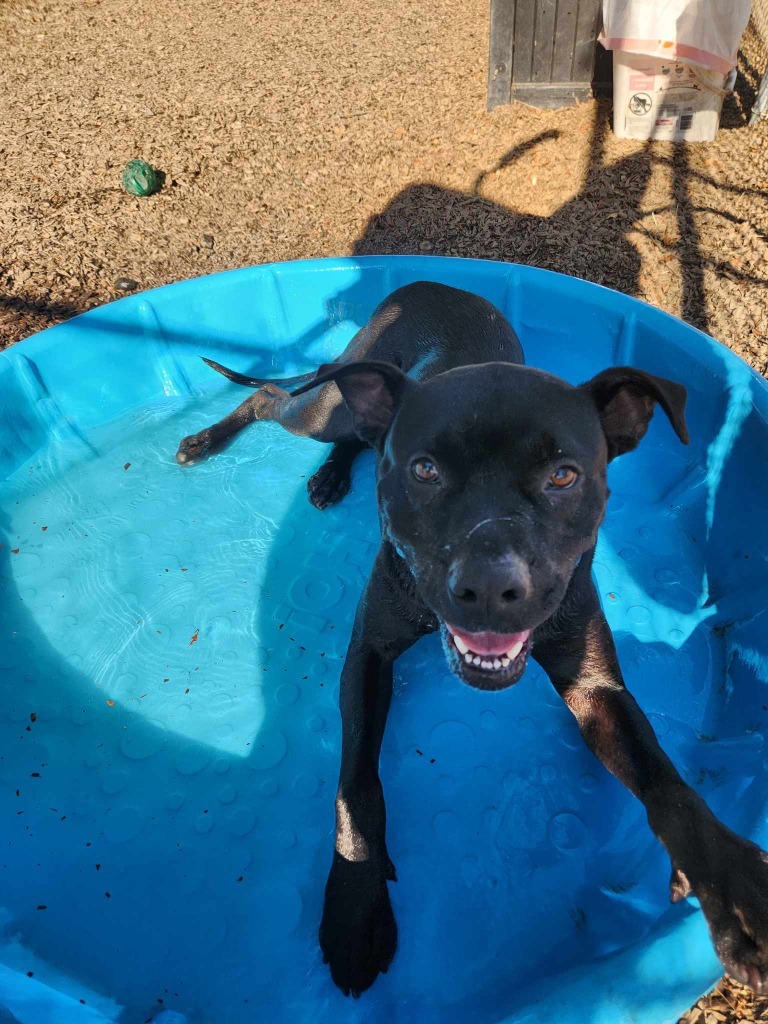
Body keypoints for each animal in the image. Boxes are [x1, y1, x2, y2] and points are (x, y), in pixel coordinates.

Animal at [176, 282, 768, 999]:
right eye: (426, 470)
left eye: (564, 475)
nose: (488, 588)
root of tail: (429, 285)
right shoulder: (367, 657)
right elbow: (356, 784)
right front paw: (355, 902)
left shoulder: (594, 688)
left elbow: (665, 778)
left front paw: (734, 888)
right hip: (324, 406)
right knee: (271, 400)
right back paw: (209, 440)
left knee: (354, 437)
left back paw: (331, 474)